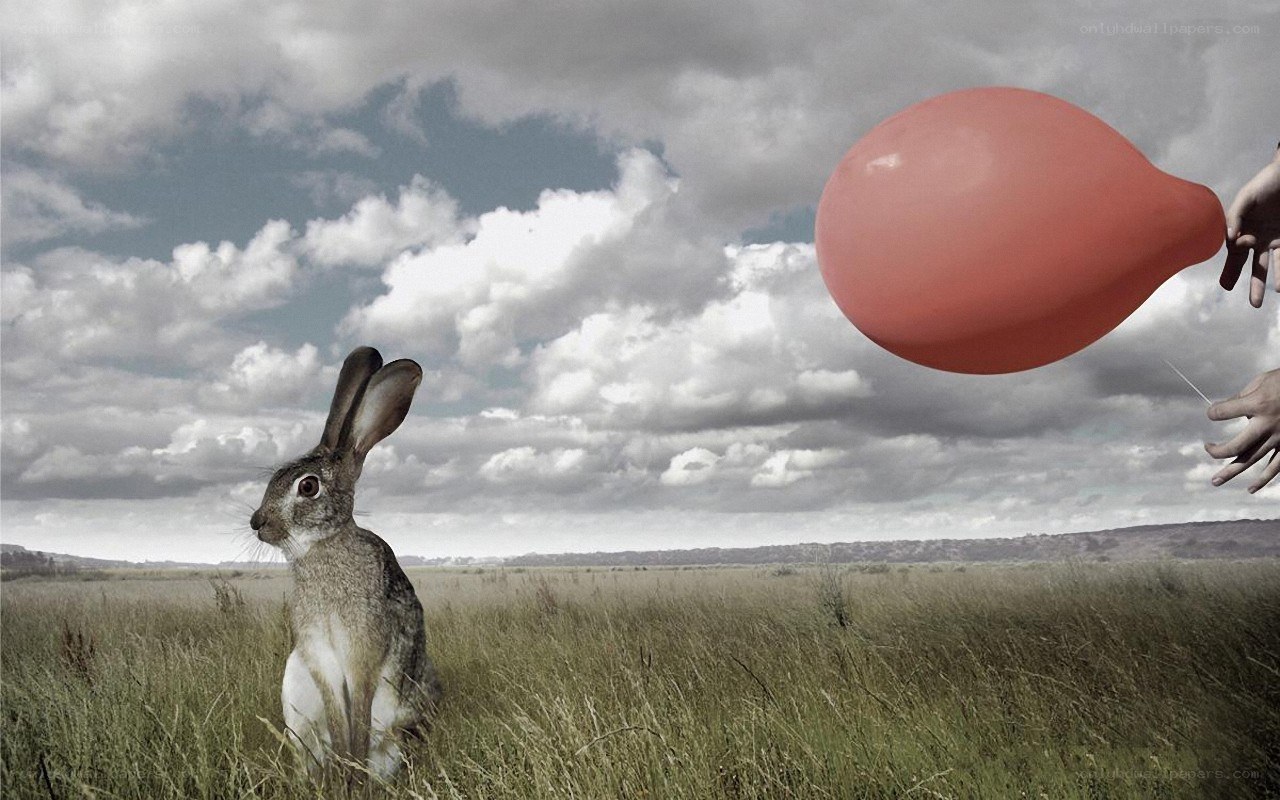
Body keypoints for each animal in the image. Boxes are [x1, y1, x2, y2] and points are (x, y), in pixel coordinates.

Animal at [249, 346, 442, 782]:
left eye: (308, 486)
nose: (257, 523)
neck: (324, 547)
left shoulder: (362, 654)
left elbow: (359, 716)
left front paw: (353, 771)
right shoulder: (321, 658)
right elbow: (339, 719)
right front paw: (344, 772)